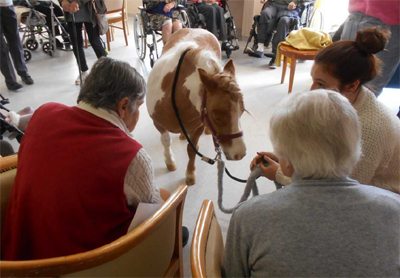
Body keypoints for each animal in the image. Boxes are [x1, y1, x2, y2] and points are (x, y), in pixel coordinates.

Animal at [147, 28, 247, 185]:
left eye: (241, 111)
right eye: (217, 115)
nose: (240, 153)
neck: (174, 93)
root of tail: (196, 28)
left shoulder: (197, 126)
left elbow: (192, 149)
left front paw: (190, 174)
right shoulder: (158, 123)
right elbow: (166, 141)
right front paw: (170, 161)